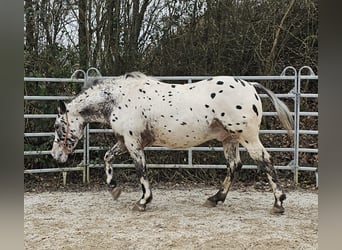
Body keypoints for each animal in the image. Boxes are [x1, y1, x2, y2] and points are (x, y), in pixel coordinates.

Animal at [50, 72, 292, 213]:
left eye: (57, 126)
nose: (55, 156)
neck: (118, 99)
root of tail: (250, 86)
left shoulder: (133, 142)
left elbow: (141, 170)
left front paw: (143, 201)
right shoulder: (124, 141)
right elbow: (107, 157)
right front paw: (114, 188)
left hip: (247, 137)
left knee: (265, 161)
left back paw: (278, 203)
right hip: (229, 139)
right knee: (234, 166)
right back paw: (215, 198)